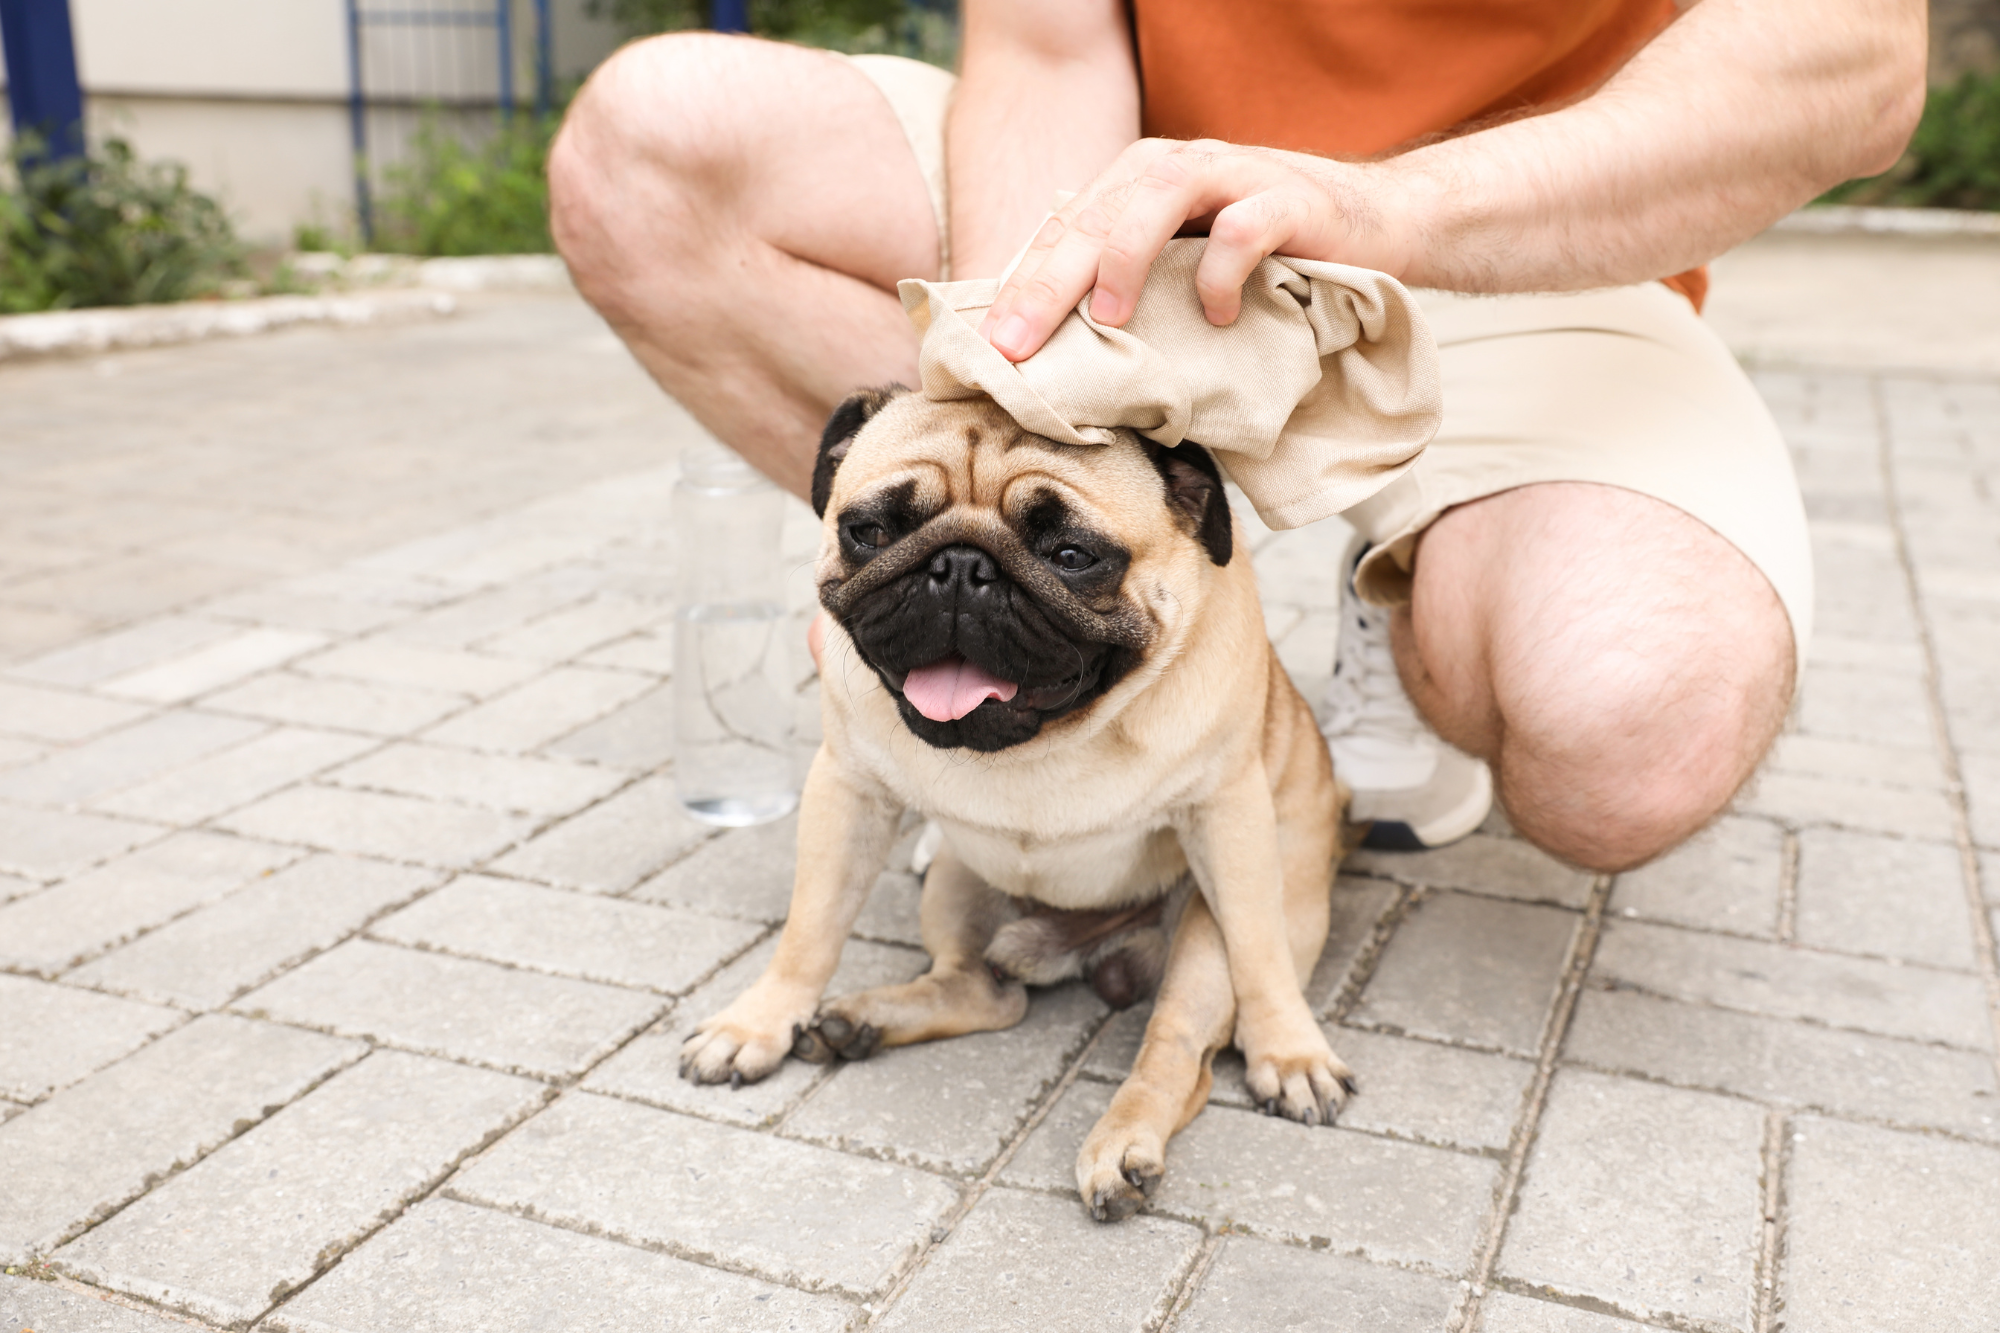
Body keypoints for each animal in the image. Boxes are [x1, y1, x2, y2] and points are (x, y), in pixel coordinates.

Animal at [676, 384, 1360, 1216]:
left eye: (1072, 555)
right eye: (870, 531)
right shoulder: (848, 790)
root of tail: (1094, 947)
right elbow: (809, 930)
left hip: (1204, 937)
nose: (959, 566)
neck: (1040, 743)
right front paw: (759, 1022)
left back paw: (1125, 1145)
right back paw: (862, 1020)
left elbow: (1260, 955)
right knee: (988, 991)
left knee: (1176, 1049)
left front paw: (1288, 1049)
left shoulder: (1227, 816)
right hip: (957, 884)